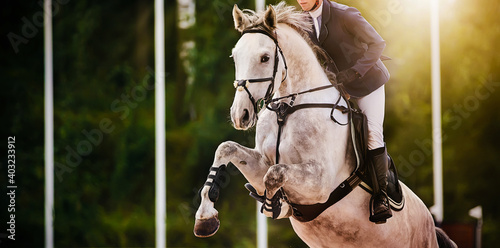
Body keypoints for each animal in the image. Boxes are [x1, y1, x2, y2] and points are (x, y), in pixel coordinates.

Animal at [193, 2, 456, 247]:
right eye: (235, 56)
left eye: (265, 58)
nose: (241, 115)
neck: (288, 108)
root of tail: (431, 225)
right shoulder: (261, 164)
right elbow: (227, 149)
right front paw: (205, 218)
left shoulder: (319, 183)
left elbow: (275, 174)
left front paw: (275, 206)